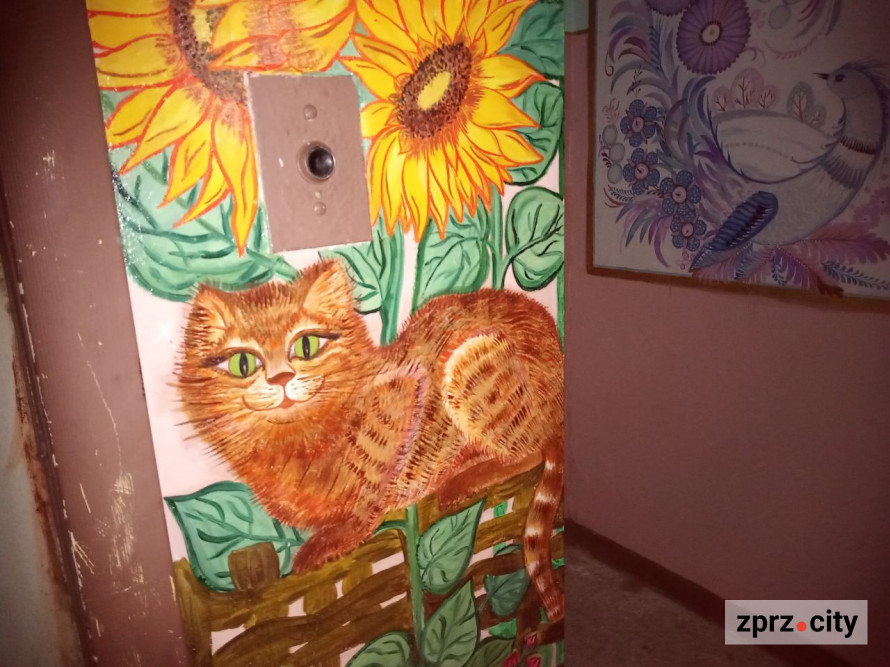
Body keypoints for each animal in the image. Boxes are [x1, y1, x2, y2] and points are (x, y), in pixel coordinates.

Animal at [176, 259, 564, 621]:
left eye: (306, 345)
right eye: (243, 363)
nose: (281, 378)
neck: (296, 439)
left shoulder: (408, 390)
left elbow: (375, 484)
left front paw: (340, 535)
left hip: (472, 360)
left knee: (531, 451)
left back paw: (466, 477)